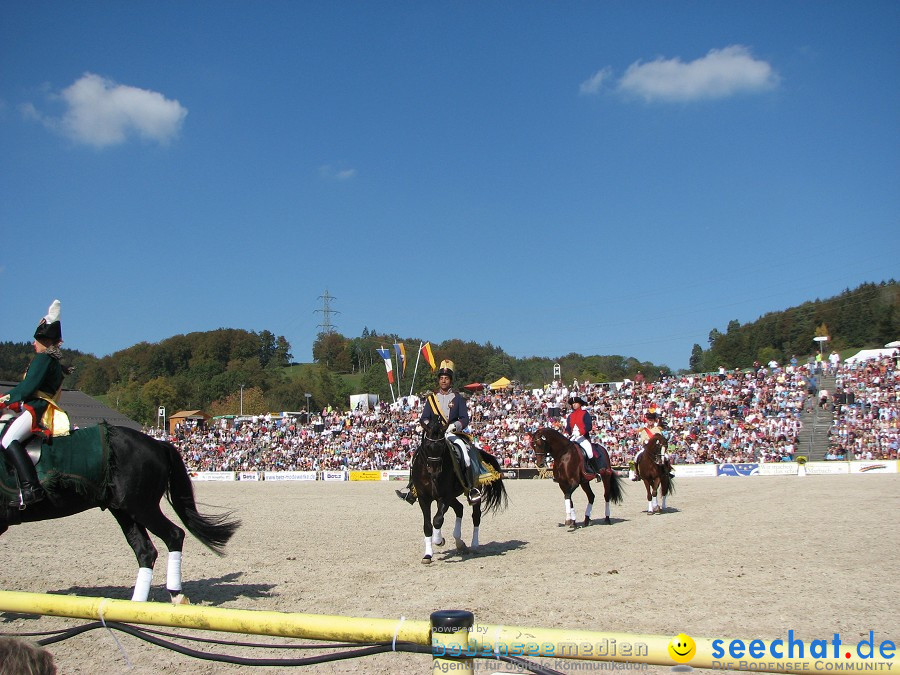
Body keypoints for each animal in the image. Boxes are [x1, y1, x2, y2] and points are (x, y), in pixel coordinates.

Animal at [0, 414, 241, 604]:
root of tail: (158, 444)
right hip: (124, 510)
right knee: (146, 550)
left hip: (141, 507)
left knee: (173, 535)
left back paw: (175, 594)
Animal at [414, 418, 510, 564]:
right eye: (427, 446)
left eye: (442, 446)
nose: (435, 471)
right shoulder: (423, 498)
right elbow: (428, 525)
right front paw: (428, 555)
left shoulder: (444, 497)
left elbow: (437, 520)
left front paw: (439, 540)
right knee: (459, 508)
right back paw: (460, 543)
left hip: (474, 491)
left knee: (475, 516)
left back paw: (474, 545)